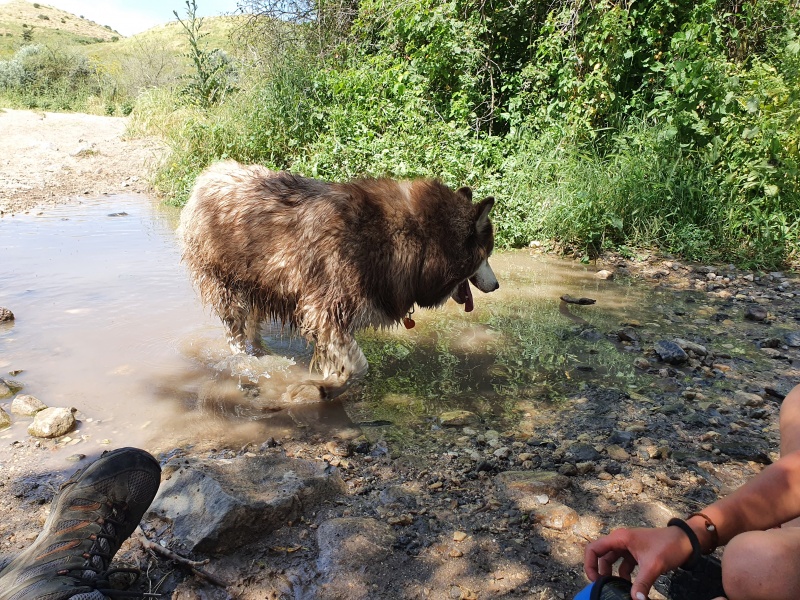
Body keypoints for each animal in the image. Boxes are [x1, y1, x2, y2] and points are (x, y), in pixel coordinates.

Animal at [180, 159, 500, 404]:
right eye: (487, 253)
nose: (496, 285)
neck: (412, 237)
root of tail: (209, 173)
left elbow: (348, 363)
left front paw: (326, 382)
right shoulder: (324, 311)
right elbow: (358, 367)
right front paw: (321, 389)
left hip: (262, 287)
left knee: (252, 329)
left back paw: (261, 354)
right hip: (227, 288)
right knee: (235, 334)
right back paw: (246, 361)